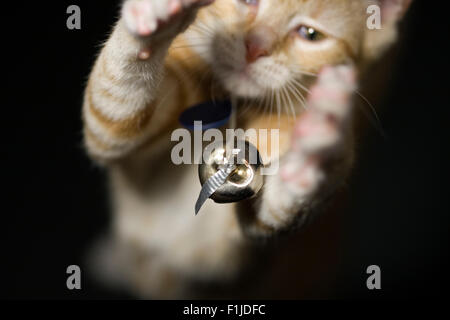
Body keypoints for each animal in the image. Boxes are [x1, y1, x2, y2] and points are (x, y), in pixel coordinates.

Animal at [82, 0, 414, 298]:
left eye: (310, 34)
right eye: (249, 1)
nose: (255, 47)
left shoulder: (250, 235)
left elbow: (275, 205)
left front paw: (317, 146)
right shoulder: (114, 130)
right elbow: (115, 95)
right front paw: (152, 17)